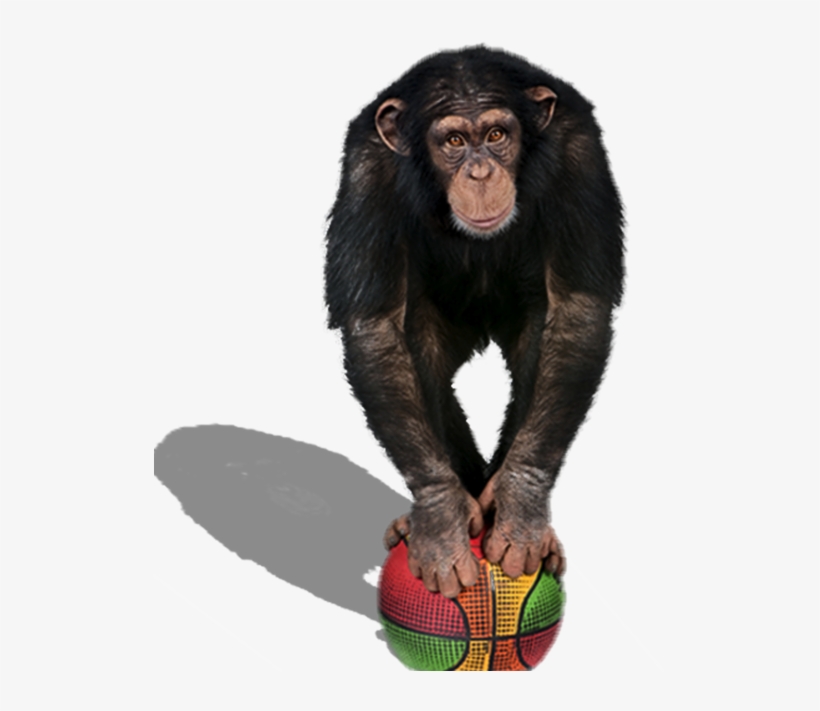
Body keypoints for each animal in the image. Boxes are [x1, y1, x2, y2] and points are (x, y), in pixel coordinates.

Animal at [324, 46, 624, 599]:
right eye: (454, 142)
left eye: (498, 135)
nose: (481, 172)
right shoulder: (366, 170)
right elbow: (375, 326)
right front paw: (441, 519)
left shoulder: (580, 153)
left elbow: (577, 306)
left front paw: (520, 507)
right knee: (415, 343)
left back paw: (504, 503)